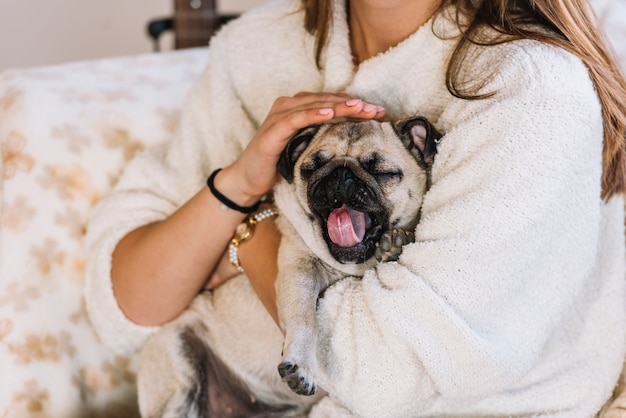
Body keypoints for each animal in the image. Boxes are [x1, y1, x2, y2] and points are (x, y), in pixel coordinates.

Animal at [136, 115, 438, 418]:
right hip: (178, 362)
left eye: (382, 172)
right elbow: (304, 318)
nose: (340, 175)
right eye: (311, 169)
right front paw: (302, 363)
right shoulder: (299, 271)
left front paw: (394, 244)